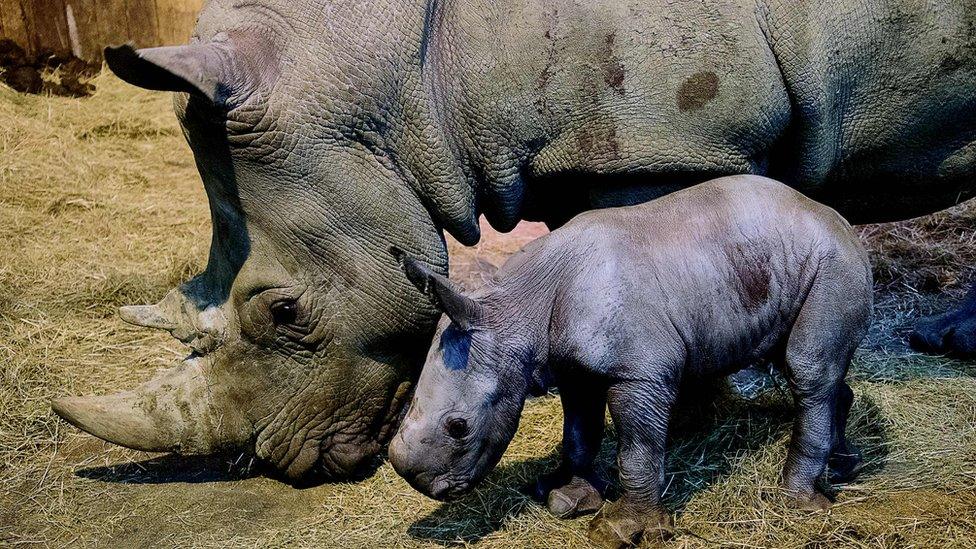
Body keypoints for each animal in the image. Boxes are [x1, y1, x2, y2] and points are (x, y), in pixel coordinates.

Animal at [386, 176, 868, 544]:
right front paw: (567, 498)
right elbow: (578, 432)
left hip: (834, 263)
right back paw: (841, 467)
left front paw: (621, 529)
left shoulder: (641, 374)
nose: (417, 481)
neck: (517, 311)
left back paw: (797, 503)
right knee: (805, 365)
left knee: (806, 369)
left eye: (459, 427)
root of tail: (841, 221)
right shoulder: (573, 368)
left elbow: (636, 449)